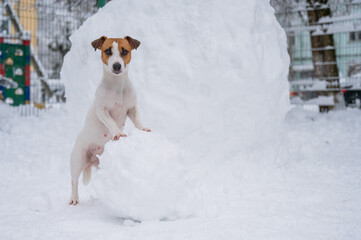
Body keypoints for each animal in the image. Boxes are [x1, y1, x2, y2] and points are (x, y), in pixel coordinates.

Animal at [68, 35, 150, 204]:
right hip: (77, 160)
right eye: (107, 51)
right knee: (74, 181)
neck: (117, 86)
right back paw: (74, 198)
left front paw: (143, 129)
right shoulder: (102, 110)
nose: (117, 66)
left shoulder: (132, 108)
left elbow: (138, 120)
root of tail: (90, 160)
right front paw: (118, 133)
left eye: (124, 51)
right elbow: (111, 122)